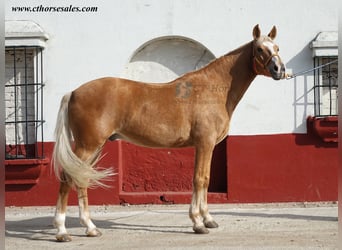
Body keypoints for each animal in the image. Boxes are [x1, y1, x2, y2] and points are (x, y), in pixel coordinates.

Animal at [51, 24, 286, 241]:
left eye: (277, 47)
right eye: (259, 49)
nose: (279, 70)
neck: (212, 89)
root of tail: (73, 92)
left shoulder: (207, 146)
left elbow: (206, 179)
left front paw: (208, 219)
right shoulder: (205, 143)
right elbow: (199, 179)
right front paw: (198, 223)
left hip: (94, 147)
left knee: (81, 180)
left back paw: (90, 228)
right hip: (87, 146)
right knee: (67, 179)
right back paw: (62, 231)